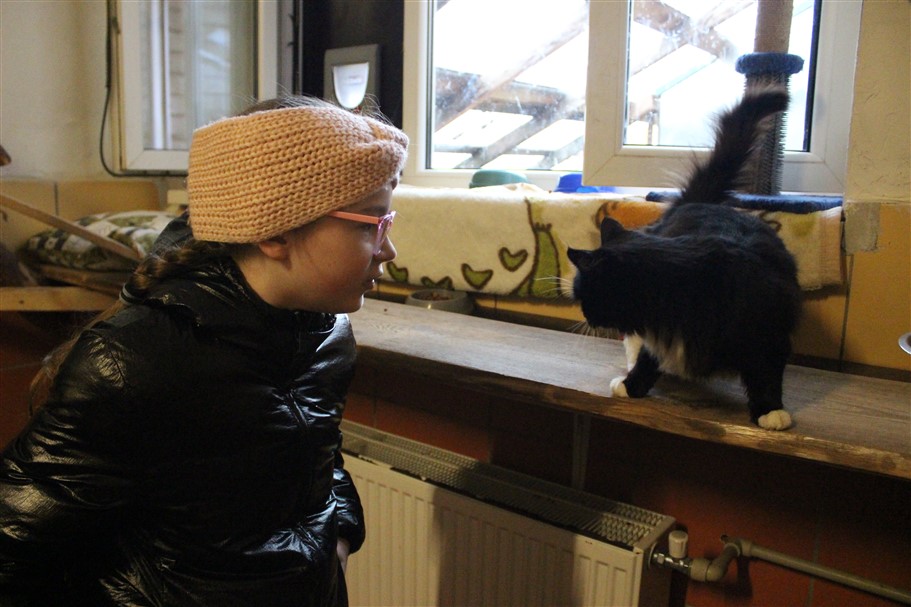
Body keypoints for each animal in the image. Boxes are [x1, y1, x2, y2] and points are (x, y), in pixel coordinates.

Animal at [567, 88, 801, 430]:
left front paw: (771, 411)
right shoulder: (655, 334)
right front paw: (632, 386)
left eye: (584, 295)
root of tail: (700, 203)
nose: (584, 317)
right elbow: (648, 358)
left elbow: (767, 375)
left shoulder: (771, 331)